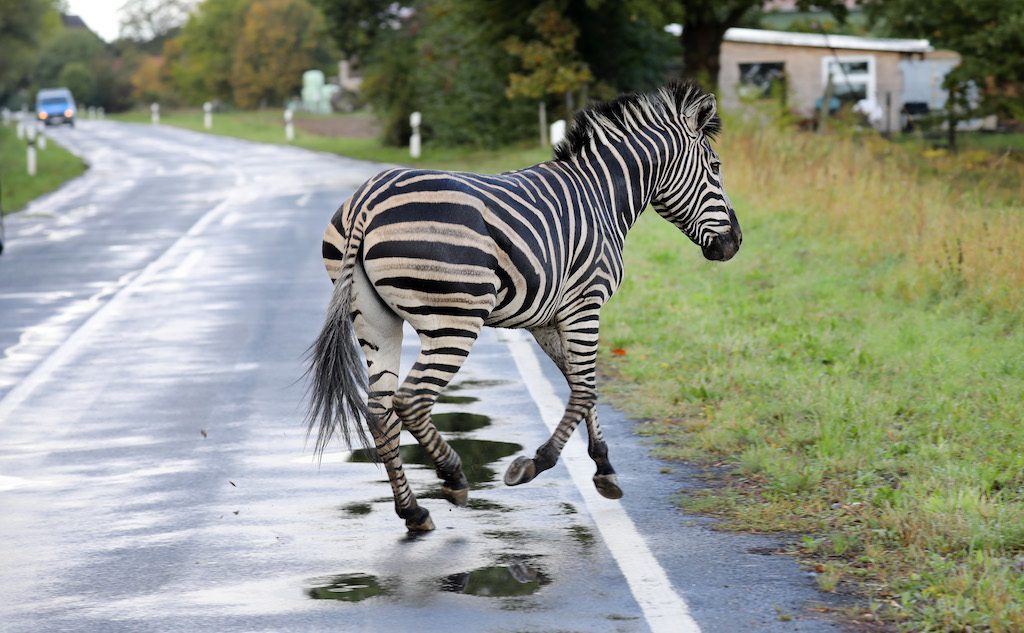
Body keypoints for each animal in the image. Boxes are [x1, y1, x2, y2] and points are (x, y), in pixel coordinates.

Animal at [307, 81, 742, 531]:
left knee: (379, 410)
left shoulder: (547, 320)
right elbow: (585, 389)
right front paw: (536, 463)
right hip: (454, 320)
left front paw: (604, 468)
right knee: (410, 400)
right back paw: (453, 476)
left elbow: (580, 384)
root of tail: (368, 201)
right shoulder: (585, 305)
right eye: (716, 166)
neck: (602, 195)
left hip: (375, 319)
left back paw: (413, 511)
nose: (735, 243)